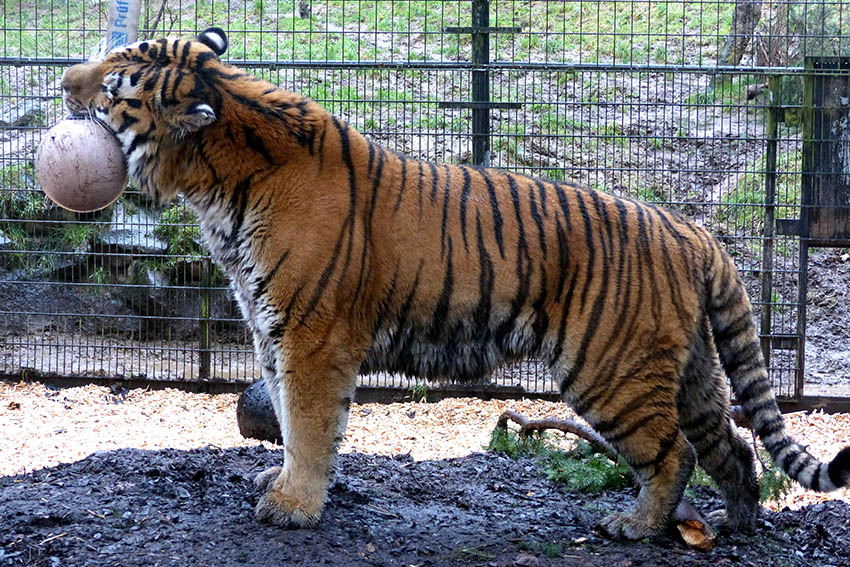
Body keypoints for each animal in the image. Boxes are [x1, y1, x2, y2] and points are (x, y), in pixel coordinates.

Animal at [61, 27, 848, 540]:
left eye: (114, 83)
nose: (62, 82)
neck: (215, 179)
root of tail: (689, 230)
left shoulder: (311, 337)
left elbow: (309, 425)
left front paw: (293, 507)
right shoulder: (270, 327)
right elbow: (286, 417)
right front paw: (281, 484)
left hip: (609, 368)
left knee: (675, 451)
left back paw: (634, 524)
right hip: (690, 370)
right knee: (735, 446)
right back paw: (738, 523)